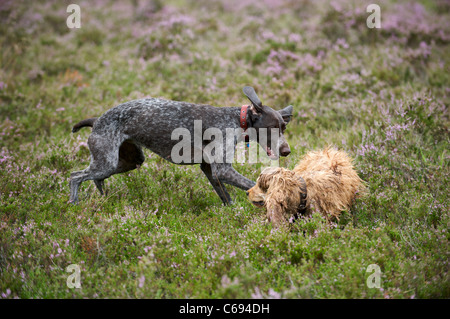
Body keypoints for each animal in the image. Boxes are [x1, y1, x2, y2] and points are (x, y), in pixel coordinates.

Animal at [70, 86, 294, 205]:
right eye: (271, 128)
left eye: (283, 127)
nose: (286, 151)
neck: (236, 121)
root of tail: (97, 120)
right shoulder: (222, 170)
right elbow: (251, 185)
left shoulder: (209, 169)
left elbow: (226, 196)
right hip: (106, 162)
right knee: (75, 177)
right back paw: (74, 204)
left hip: (128, 161)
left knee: (96, 179)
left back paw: (103, 198)